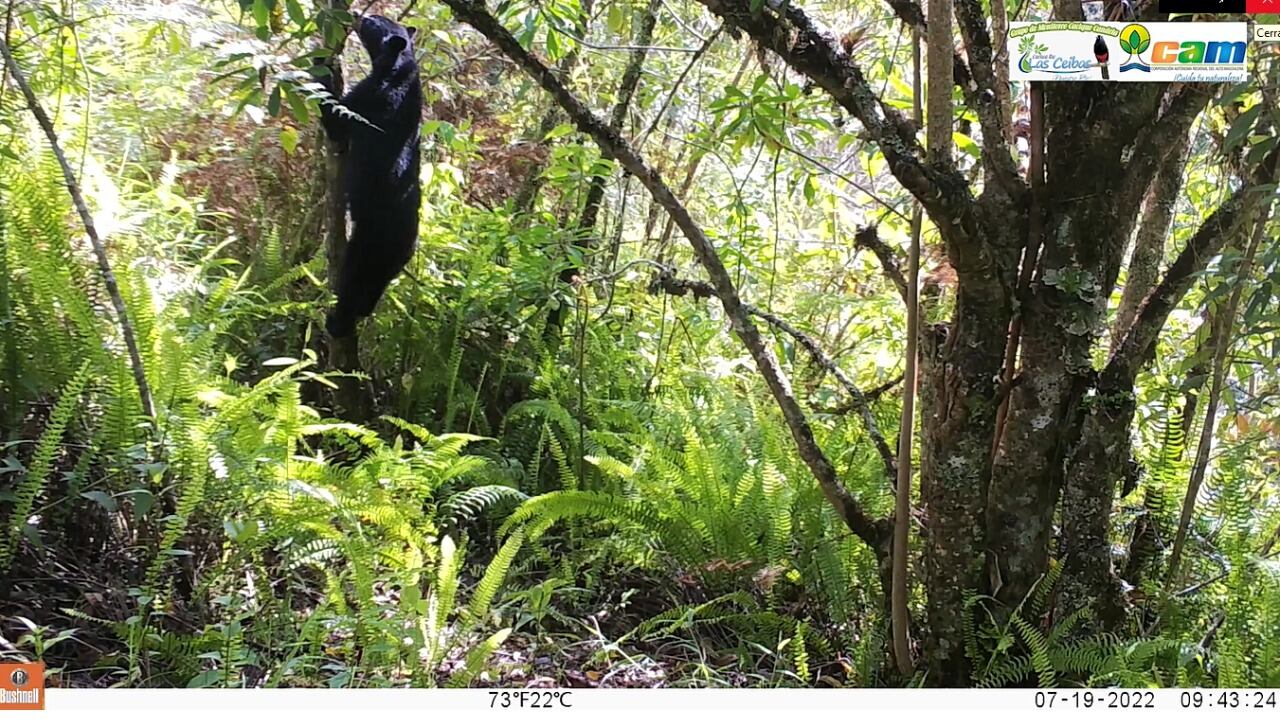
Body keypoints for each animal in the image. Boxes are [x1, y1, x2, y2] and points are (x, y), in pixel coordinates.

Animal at [318, 13, 423, 338]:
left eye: (374, 22)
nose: (358, 15)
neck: (397, 70)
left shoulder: (369, 99)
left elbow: (336, 119)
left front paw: (320, 62)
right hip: (385, 264)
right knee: (371, 289)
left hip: (367, 244)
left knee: (352, 280)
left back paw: (337, 321)